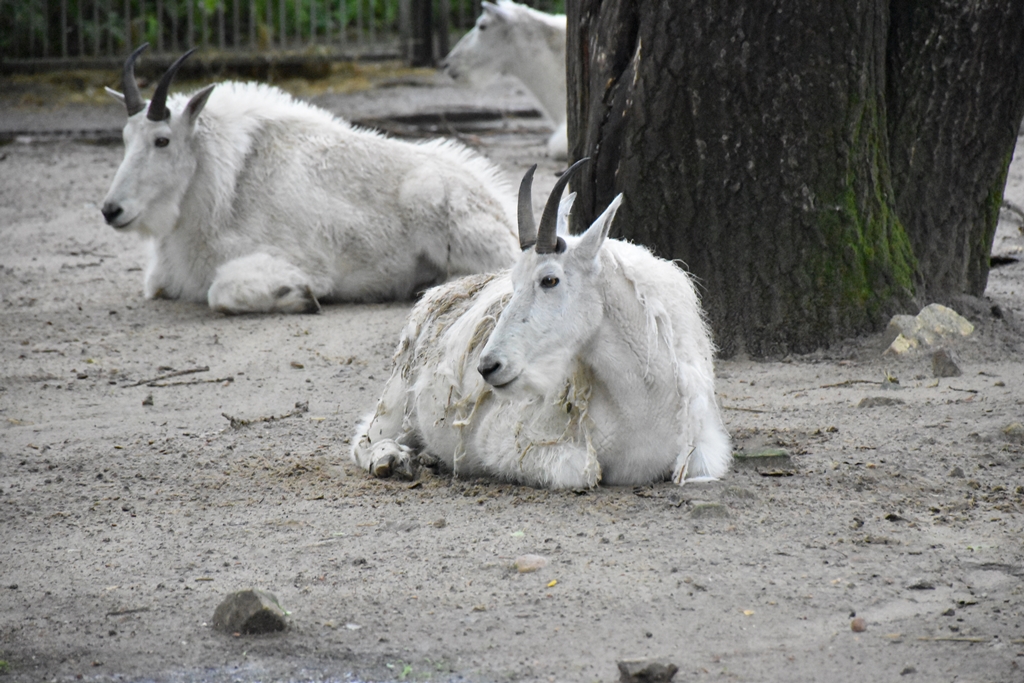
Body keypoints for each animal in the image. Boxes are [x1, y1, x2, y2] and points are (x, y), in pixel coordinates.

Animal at [101, 44, 519, 314]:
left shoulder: (302, 263)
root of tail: (498, 204)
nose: (111, 210)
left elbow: (221, 293)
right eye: (125, 138)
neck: (226, 183)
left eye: (162, 140)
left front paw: (297, 296)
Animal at [351, 161, 731, 489]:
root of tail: (434, 293)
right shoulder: (506, 443)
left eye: (550, 279)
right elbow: (584, 471)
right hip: (397, 398)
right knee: (365, 436)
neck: (643, 407)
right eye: (513, 281)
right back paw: (392, 459)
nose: (488, 367)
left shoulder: (703, 452)